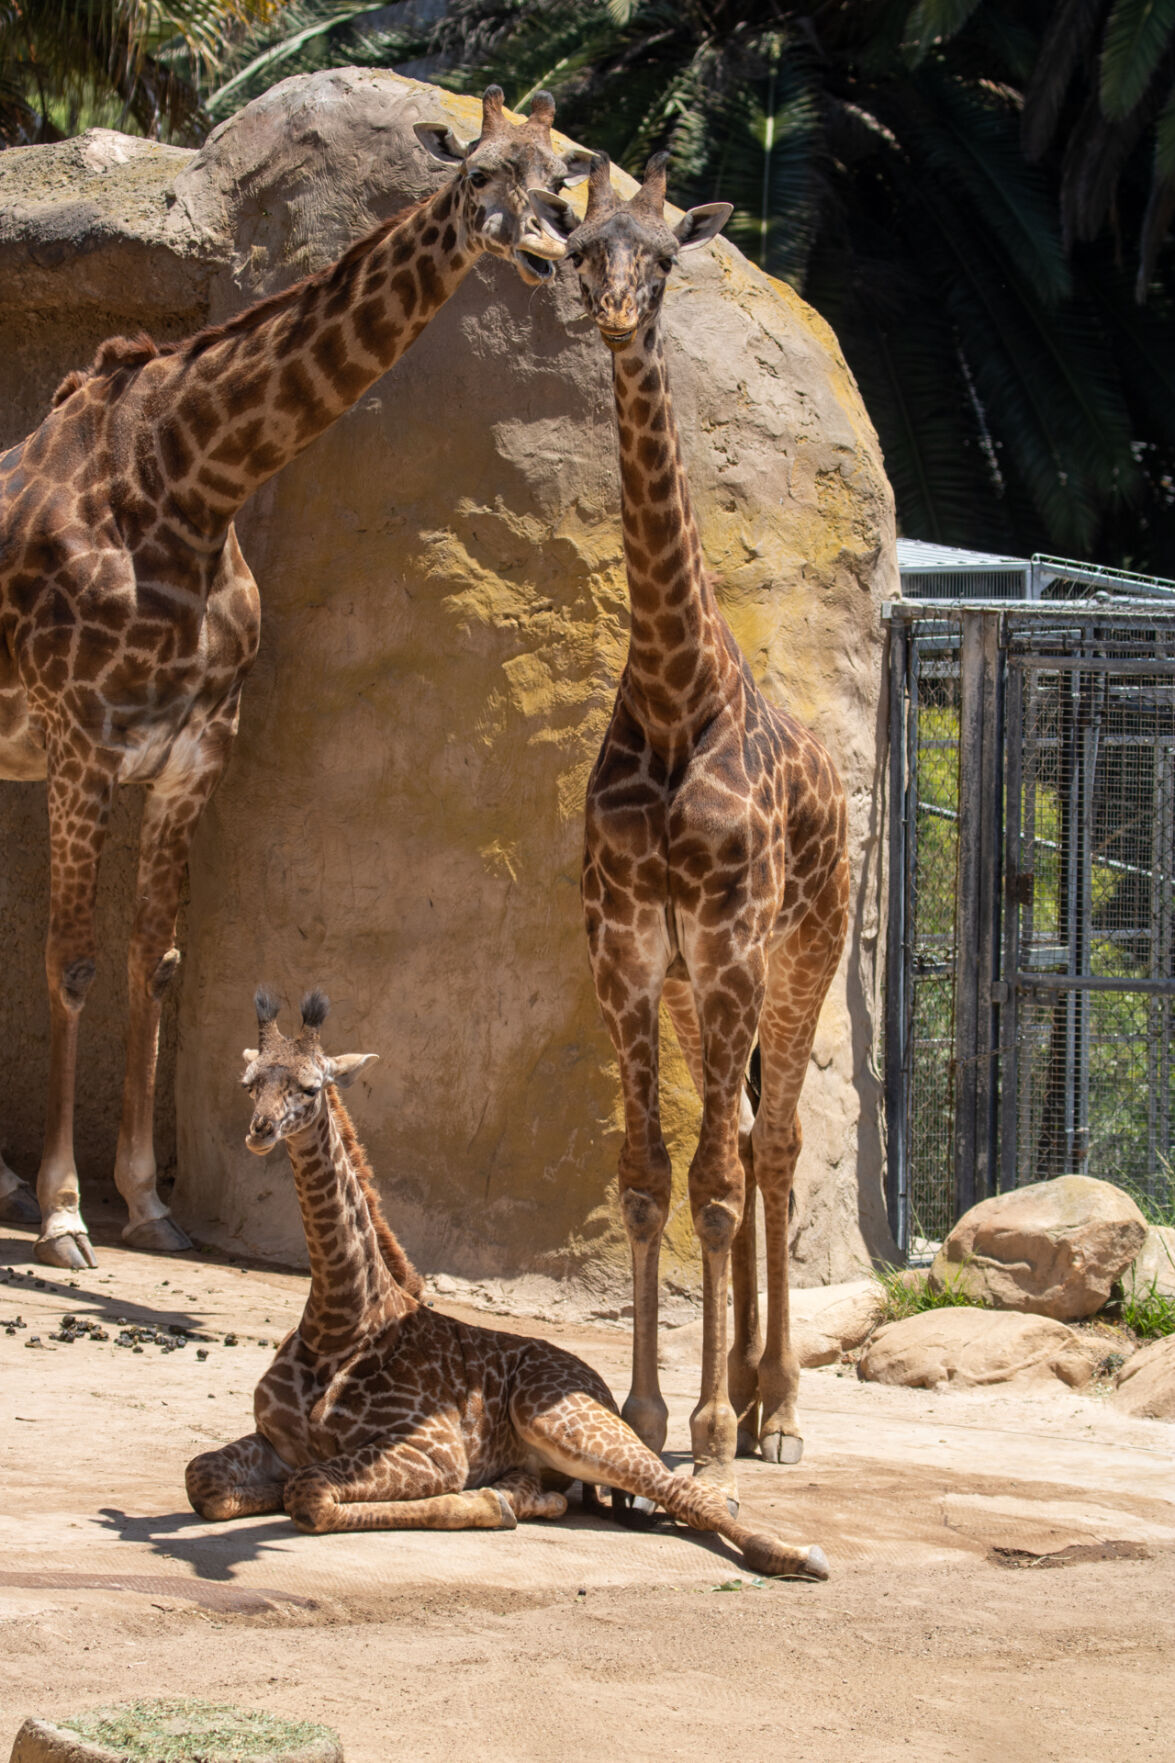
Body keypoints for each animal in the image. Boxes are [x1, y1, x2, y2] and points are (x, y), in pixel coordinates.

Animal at [0, 86, 589, 1271]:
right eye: (477, 174)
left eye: (558, 179)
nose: (546, 251)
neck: (189, 482)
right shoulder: (81, 741)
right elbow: (73, 963)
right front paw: (65, 1214)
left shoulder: (192, 752)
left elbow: (157, 958)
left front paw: (150, 1202)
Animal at [185, 986, 829, 1580]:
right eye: (249, 1083)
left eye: (310, 1087)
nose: (261, 1130)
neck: (339, 1320)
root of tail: (594, 1381)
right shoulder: (278, 1441)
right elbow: (203, 1478)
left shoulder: (433, 1450)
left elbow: (311, 1495)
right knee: (569, 1492)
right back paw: (521, 1496)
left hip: (567, 1424)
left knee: (688, 1493)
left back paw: (798, 1555)